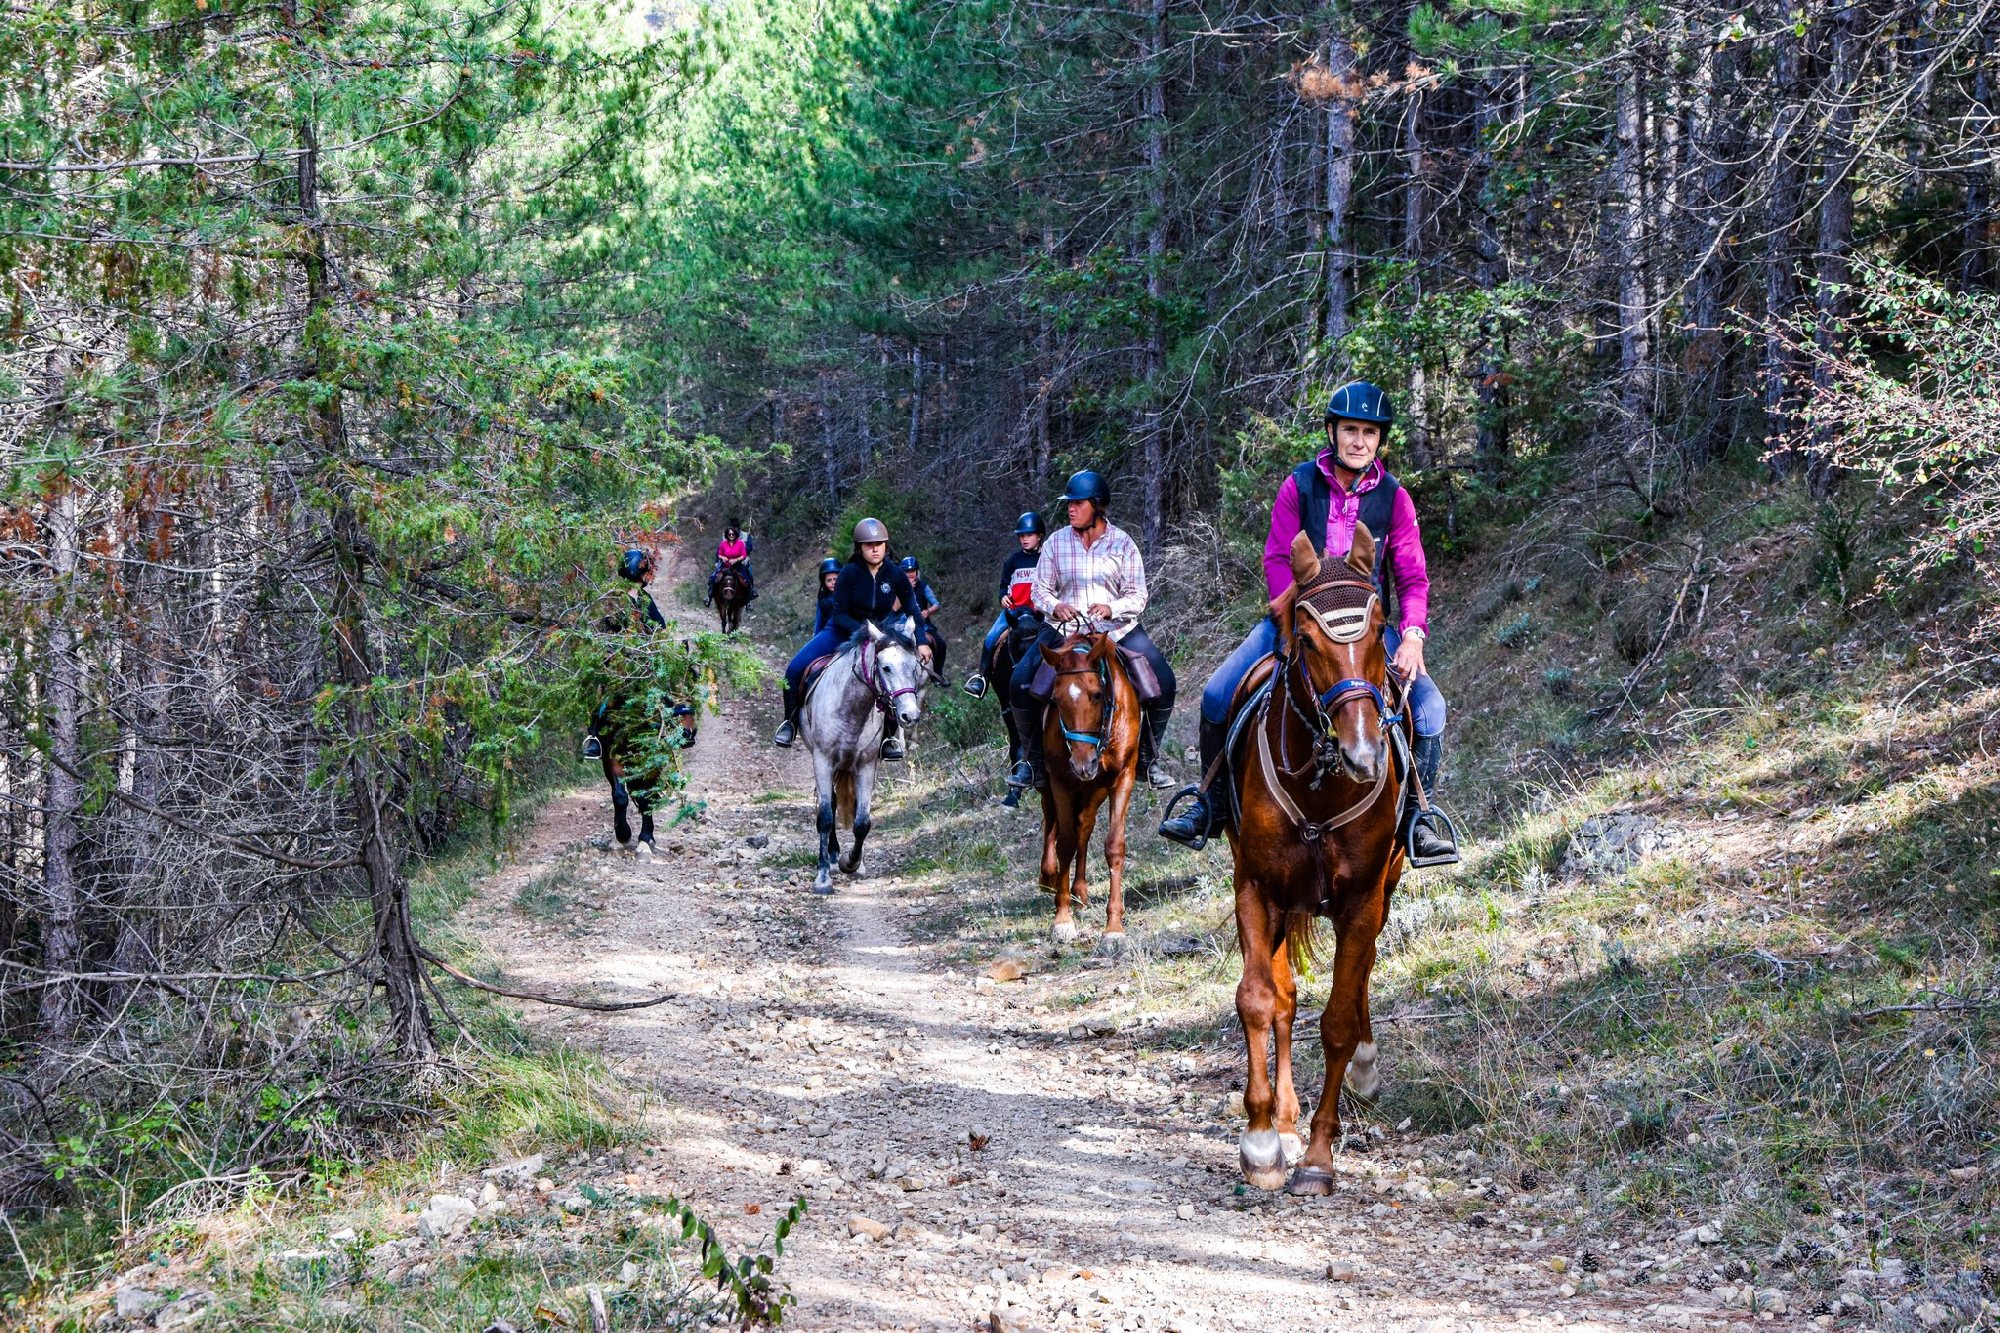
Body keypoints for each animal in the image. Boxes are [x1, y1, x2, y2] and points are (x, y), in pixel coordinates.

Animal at [796, 624, 928, 892]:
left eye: (914, 667)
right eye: (885, 667)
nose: (910, 716)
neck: (851, 708)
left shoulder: (867, 766)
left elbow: (862, 822)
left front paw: (852, 863)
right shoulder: (823, 761)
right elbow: (825, 817)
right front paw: (823, 877)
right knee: (831, 803)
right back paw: (832, 856)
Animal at [1032, 632, 1144, 944]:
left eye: (1096, 694)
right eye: (1055, 699)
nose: (1083, 763)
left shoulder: (1122, 777)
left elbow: (1114, 846)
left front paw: (1114, 927)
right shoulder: (1059, 780)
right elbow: (1065, 843)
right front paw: (1062, 919)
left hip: (1094, 789)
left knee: (1084, 826)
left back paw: (1079, 892)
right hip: (1056, 784)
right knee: (1053, 822)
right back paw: (1049, 877)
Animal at [1224, 524, 1416, 1184]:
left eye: (1381, 627)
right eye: (1306, 640)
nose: (1364, 755)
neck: (1322, 784)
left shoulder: (1360, 899)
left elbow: (1336, 1021)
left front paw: (1317, 1158)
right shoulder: (1257, 890)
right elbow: (1261, 999)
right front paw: (1262, 1141)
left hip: (1383, 890)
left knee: (1362, 974)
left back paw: (1365, 1064)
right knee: (1283, 995)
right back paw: (1282, 1118)